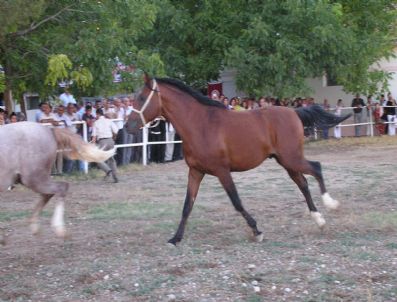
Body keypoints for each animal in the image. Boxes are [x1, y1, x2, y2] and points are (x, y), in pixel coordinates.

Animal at [127, 76, 350, 245]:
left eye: (141, 97)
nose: (128, 126)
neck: (200, 125)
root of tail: (293, 111)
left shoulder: (221, 171)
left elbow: (236, 201)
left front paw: (257, 231)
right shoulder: (196, 171)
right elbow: (187, 205)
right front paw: (175, 238)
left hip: (291, 158)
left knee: (316, 169)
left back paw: (330, 205)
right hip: (286, 161)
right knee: (303, 183)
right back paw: (319, 220)